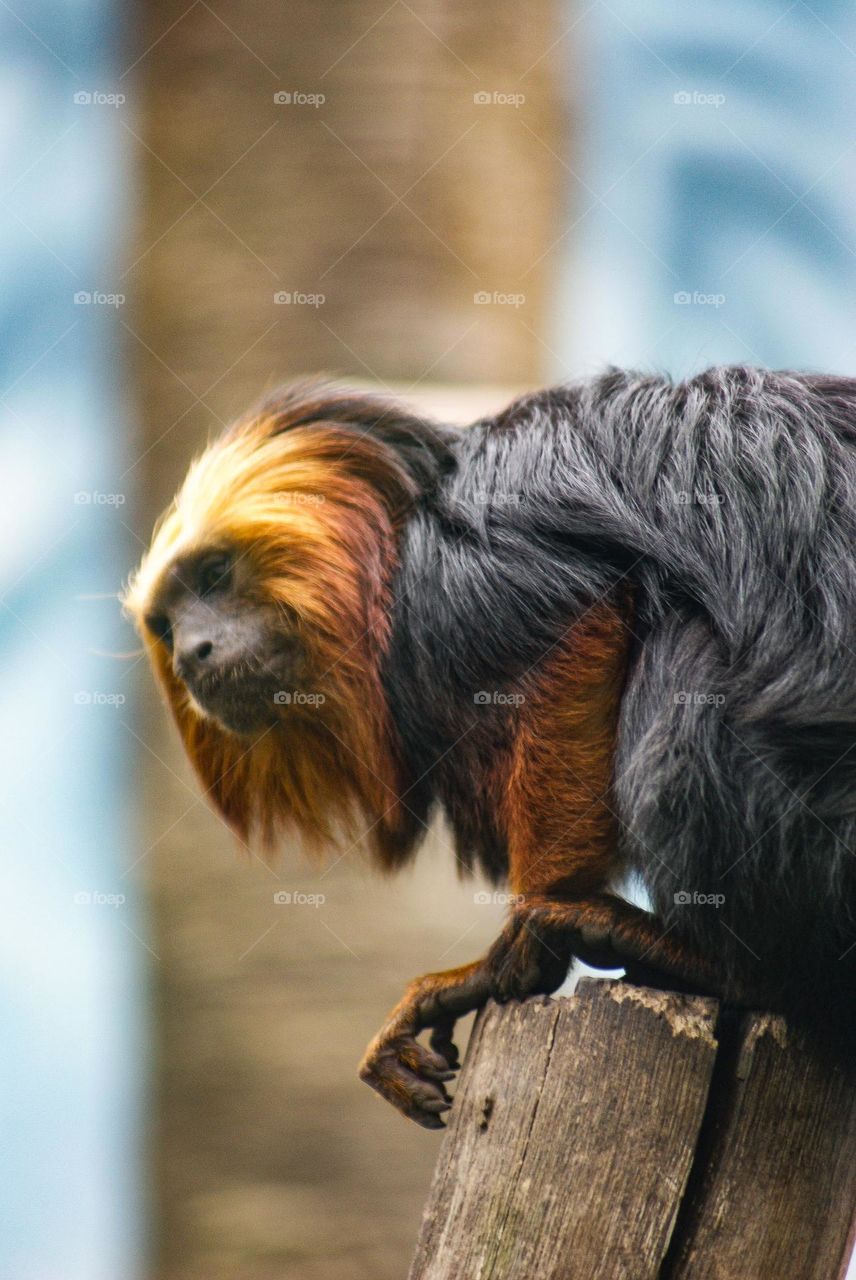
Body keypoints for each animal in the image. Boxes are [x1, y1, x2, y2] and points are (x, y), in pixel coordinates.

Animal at [124, 367, 856, 1129]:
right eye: (167, 625)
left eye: (215, 576)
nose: (194, 652)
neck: (401, 545)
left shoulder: (466, 567)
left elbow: (583, 622)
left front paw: (522, 950)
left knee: (685, 663)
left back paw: (723, 965)